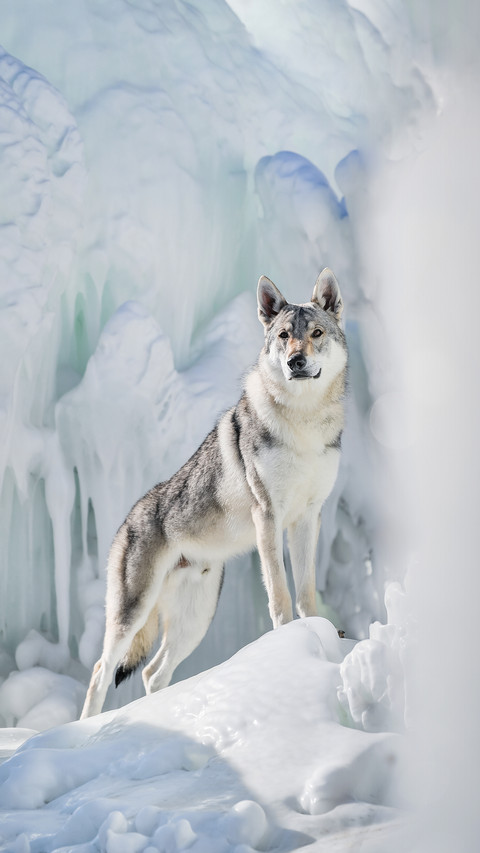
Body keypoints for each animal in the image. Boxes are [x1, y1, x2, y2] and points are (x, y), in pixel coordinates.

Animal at [80, 269, 347, 718]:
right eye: (283, 335)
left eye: (316, 333)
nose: (295, 362)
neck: (303, 425)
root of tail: (127, 519)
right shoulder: (268, 516)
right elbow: (280, 595)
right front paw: (286, 645)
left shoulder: (308, 517)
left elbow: (306, 593)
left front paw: (318, 636)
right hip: (134, 612)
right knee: (101, 671)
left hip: (196, 621)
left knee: (152, 673)